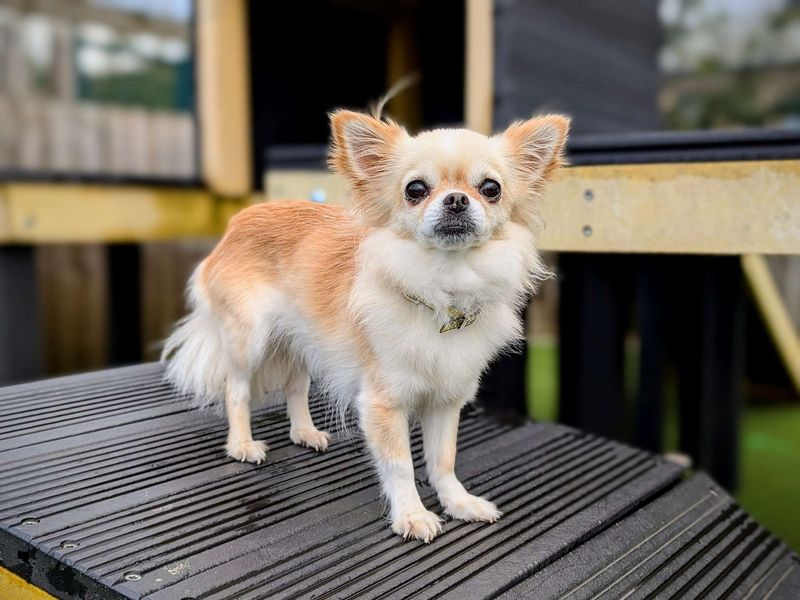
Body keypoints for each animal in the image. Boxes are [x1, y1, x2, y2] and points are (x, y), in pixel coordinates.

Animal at [162, 109, 568, 544]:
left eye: (491, 189)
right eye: (415, 189)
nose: (457, 199)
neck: (445, 285)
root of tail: (236, 224)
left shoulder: (445, 401)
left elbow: (444, 459)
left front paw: (459, 502)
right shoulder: (382, 404)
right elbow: (401, 464)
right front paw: (412, 514)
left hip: (301, 339)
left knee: (295, 386)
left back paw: (304, 432)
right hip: (249, 340)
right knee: (236, 390)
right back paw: (242, 444)